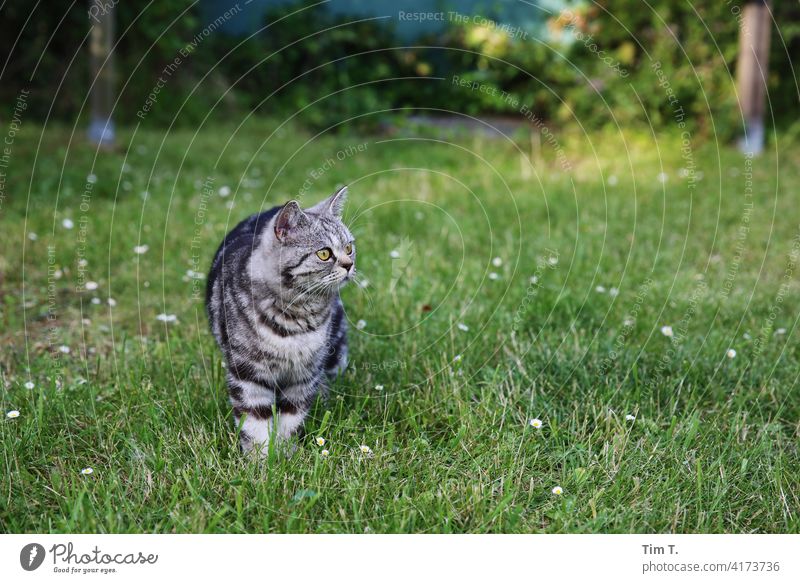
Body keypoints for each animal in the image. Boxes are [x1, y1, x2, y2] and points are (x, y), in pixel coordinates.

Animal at [206, 187, 354, 456]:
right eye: (324, 253)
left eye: (348, 248)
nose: (350, 265)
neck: (296, 318)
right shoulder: (248, 375)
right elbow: (255, 426)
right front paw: (261, 462)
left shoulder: (303, 376)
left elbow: (290, 421)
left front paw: (286, 455)